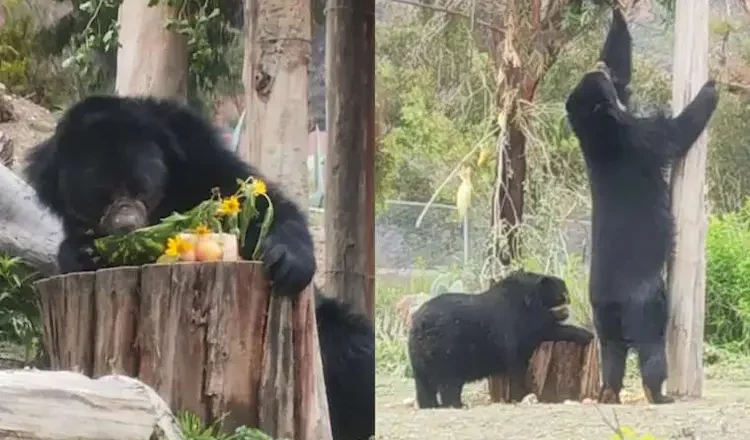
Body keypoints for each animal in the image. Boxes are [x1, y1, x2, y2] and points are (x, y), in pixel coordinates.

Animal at [25, 95, 376, 440]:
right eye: (102, 198)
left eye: (142, 190)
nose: (128, 226)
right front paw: (86, 253)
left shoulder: (200, 156)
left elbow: (256, 203)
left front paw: (286, 261)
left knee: (354, 353)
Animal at [408, 270, 596, 410]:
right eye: (562, 295)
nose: (568, 302)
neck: (528, 299)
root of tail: (421, 324)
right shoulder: (518, 324)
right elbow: (530, 346)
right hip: (449, 349)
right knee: (450, 381)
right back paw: (457, 404)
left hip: (418, 356)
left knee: (423, 383)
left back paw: (430, 405)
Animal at [568, 7, 720, 406]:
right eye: (596, 78)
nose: (599, 67)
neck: (600, 133)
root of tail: (611, 302)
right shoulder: (641, 139)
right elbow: (675, 133)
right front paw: (710, 88)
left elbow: (626, 75)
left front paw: (618, 15)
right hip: (646, 305)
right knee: (652, 348)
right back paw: (660, 395)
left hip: (604, 324)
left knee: (612, 357)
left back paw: (608, 393)